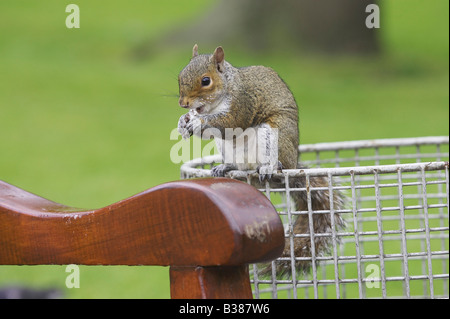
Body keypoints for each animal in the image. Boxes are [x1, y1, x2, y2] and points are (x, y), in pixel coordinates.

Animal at [178, 45, 346, 278]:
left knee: (276, 164)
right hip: (227, 149)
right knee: (237, 165)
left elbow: (230, 122)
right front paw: (183, 122)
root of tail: (293, 163)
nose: (183, 103)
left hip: (271, 136)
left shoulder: (243, 102)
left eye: (205, 81)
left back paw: (269, 167)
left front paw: (196, 122)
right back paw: (225, 167)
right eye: (179, 76)